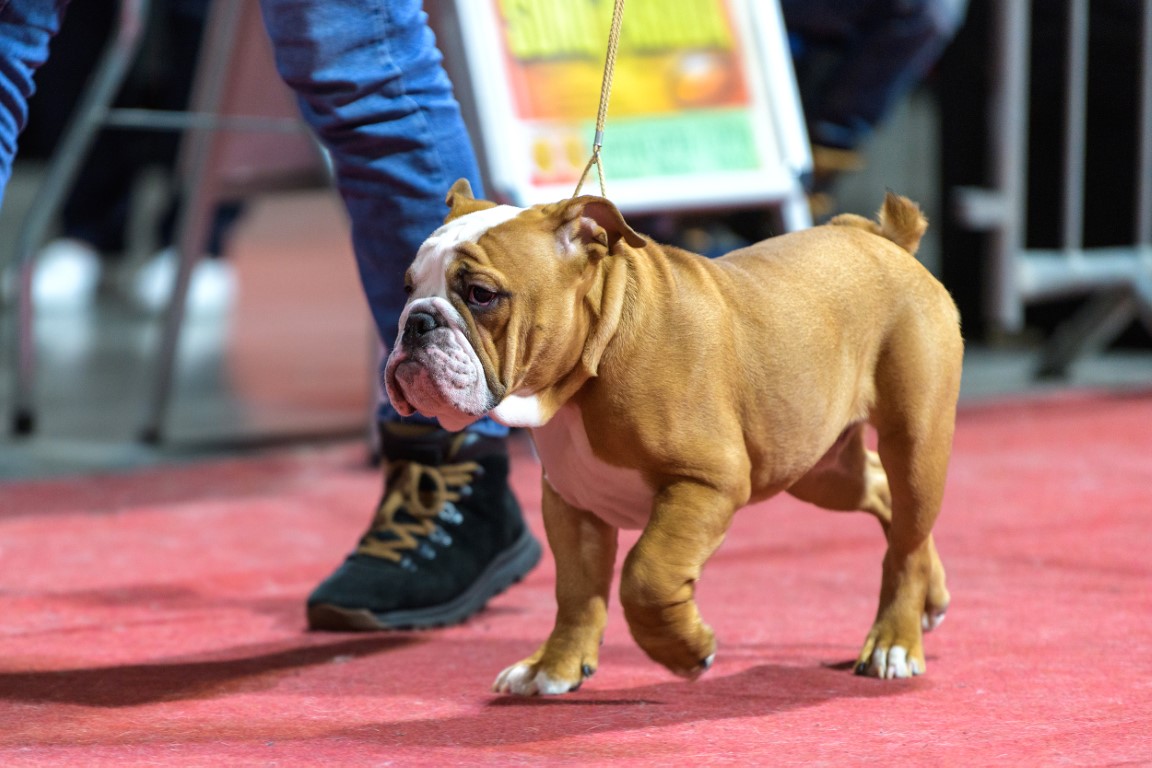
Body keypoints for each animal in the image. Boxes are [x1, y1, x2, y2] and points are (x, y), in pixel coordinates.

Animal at [385, 179, 963, 694]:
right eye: (407, 288)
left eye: (480, 295)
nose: (415, 322)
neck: (591, 362)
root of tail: (883, 239)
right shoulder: (571, 504)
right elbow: (576, 592)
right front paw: (554, 667)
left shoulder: (706, 483)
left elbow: (647, 574)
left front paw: (684, 650)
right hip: (815, 465)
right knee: (885, 498)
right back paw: (931, 599)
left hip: (915, 446)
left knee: (906, 536)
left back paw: (893, 641)